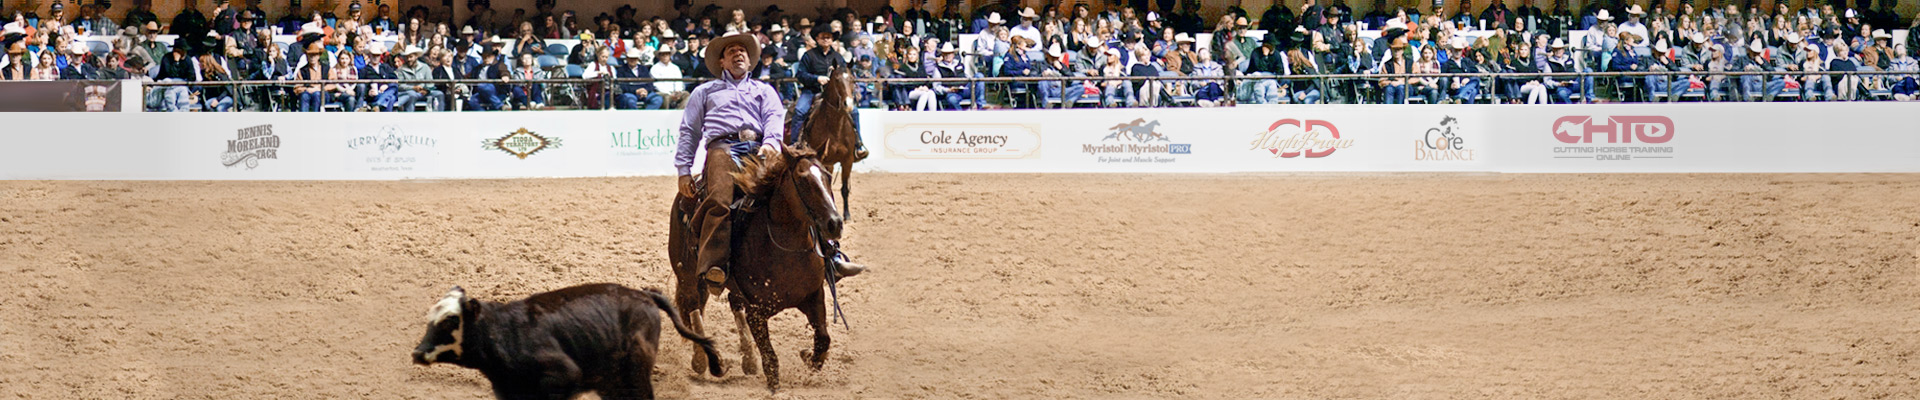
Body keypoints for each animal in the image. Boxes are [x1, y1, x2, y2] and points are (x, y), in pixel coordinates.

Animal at [414, 282, 725, 398]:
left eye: (451, 320)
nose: (418, 352)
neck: (507, 332)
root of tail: (645, 295)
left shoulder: (564, 377)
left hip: (636, 373)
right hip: (612, 382)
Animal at [668, 144, 840, 394]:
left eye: (827, 176)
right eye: (803, 179)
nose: (835, 223)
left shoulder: (814, 296)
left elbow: (823, 341)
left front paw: (807, 355)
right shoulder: (756, 311)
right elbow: (770, 357)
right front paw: (774, 386)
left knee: (731, 303)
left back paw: (748, 360)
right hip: (686, 274)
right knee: (693, 306)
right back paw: (702, 360)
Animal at [791, 65, 867, 222]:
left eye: (853, 79)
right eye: (836, 80)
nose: (848, 104)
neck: (835, 126)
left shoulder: (847, 160)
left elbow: (844, 189)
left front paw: (847, 215)